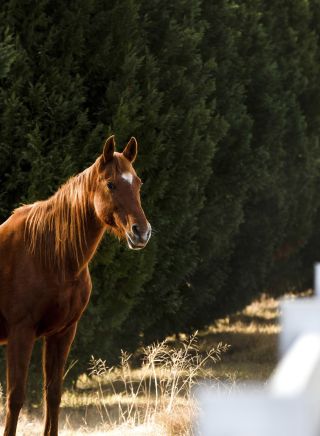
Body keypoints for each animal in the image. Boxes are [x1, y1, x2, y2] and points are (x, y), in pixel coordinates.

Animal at [0, 135, 151, 434]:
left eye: (138, 183)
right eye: (111, 184)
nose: (141, 232)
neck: (50, 254)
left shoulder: (62, 333)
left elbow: (53, 394)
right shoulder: (20, 333)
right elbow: (15, 398)